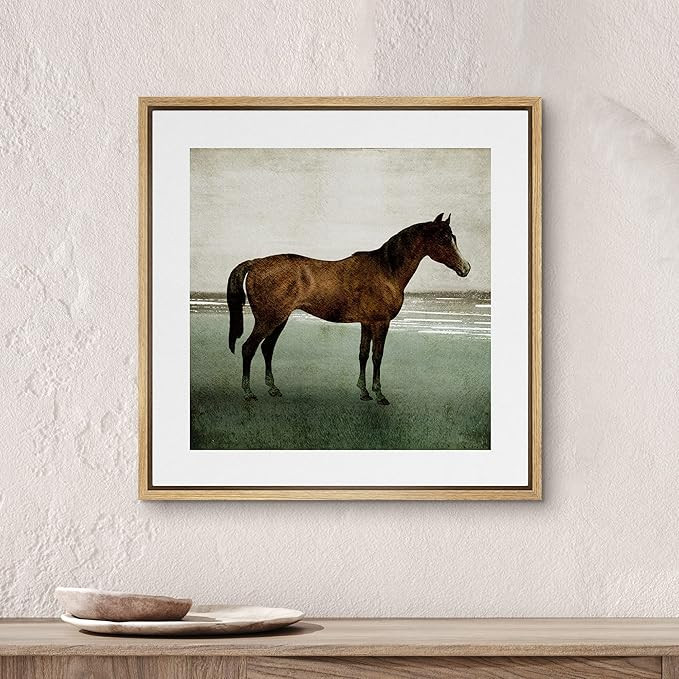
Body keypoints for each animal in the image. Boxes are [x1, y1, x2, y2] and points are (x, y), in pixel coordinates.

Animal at [227, 213, 471, 405]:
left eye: (453, 238)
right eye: (444, 239)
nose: (466, 268)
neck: (387, 270)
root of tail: (255, 263)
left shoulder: (367, 322)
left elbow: (363, 354)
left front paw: (363, 392)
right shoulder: (381, 323)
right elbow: (377, 356)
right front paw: (379, 394)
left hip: (280, 319)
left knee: (267, 348)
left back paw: (273, 389)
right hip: (268, 319)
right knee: (248, 348)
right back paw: (248, 393)